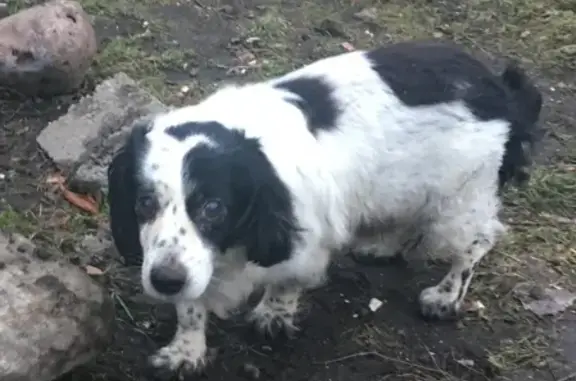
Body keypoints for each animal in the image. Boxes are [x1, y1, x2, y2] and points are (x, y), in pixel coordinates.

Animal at [106, 40, 544, 376]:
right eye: (144, 202)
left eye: (214, 207)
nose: (164, 281)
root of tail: (497, 87)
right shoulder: (181, 263)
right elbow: (191, 306)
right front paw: (186, 351)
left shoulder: (304, 240)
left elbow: (286, 281)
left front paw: (273, 315)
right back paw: (383, 246)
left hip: (458, 204)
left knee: (476, 243)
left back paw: (445, 296)